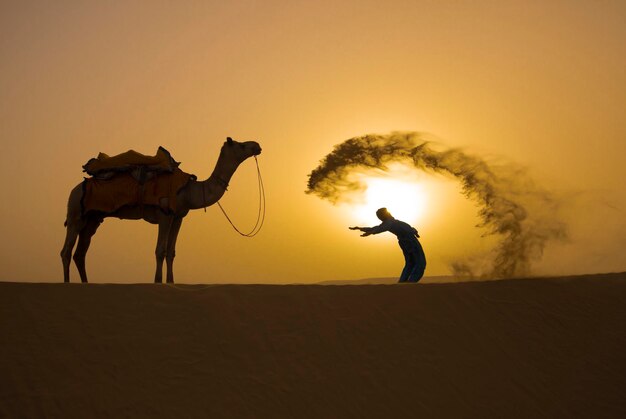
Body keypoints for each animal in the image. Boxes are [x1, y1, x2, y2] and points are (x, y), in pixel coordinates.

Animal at [61, 139, 260, 284]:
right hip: (75, 213)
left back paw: (85, 283)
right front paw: (157, 281)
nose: (257, 146)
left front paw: (171, 282)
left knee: (80, 251)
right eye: (242, 145)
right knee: (67, 250)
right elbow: (160, 250)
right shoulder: (164, 214)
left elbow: (171, 252)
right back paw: (67, 282)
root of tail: (76, 188)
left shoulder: (178, 217)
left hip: (93, 218)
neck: (188, 190)